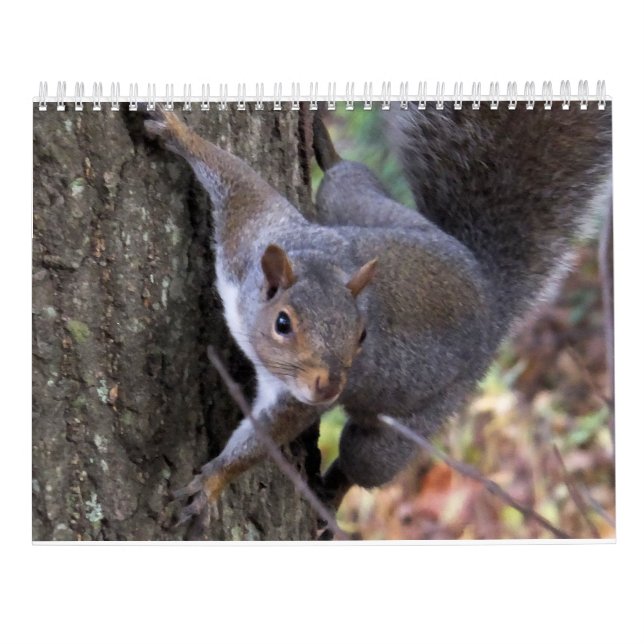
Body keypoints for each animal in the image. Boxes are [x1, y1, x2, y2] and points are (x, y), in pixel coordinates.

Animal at [143, 100, 612, 528]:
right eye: (283, 323)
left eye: (362, 335)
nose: (329, 388)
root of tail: (489, 300)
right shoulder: (255, 232)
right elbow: (236, 178)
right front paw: (177, 132)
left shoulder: (295, 397)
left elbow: (263, 439)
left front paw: (212, 484)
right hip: (363, 210)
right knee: (348, 182)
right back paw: (327, 148)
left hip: (412, 420)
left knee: (364, 462)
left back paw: (329, 498)